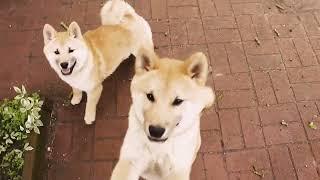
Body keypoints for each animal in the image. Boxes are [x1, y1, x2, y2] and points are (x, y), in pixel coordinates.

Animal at [111, 47, 216, 180]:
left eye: (178, 101)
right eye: (150, 96)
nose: (156, 131)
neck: (158, 149)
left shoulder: (177, 169)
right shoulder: (130, 160)